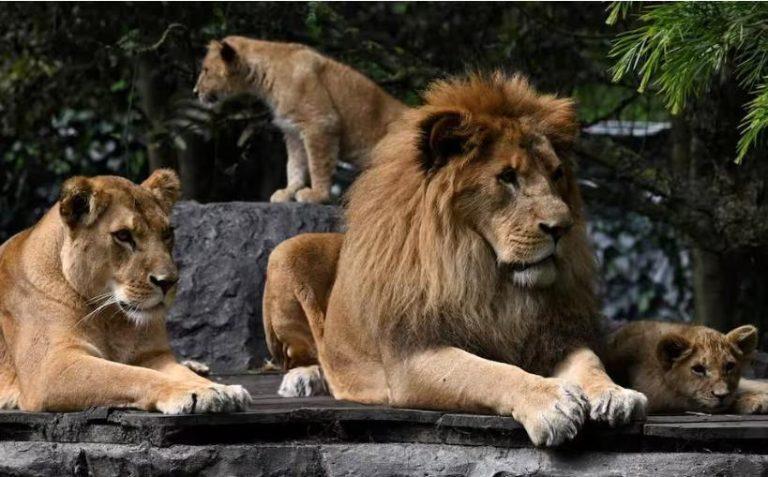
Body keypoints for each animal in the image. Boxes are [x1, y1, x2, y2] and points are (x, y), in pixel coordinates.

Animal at [0, 169, 251, 413]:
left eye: (167, 233)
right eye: (123, 235)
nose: (168, 282)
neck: (111, 319)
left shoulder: (153, 355)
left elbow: (173, 372)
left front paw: (220, 388)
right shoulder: (50, 368)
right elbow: (131, 375)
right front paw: (195, 391)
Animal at [194, 36, 408, 204]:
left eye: (205, 70)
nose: (195, 91)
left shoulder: (321, 123)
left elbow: (318, 165)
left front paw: (317, 195)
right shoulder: (293, 131)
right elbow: (294, 165)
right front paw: (288, 192)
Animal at [263, 72, 647, 446]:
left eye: (556, 174)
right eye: (508, 177)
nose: (562, 228)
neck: (490, 277)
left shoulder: (555, 334)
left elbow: (590, 363)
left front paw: (615, 393)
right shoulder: (411, 355)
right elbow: (488, 372)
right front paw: (551, 402)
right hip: (287, 252)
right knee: (299, 354)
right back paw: (305, 378)